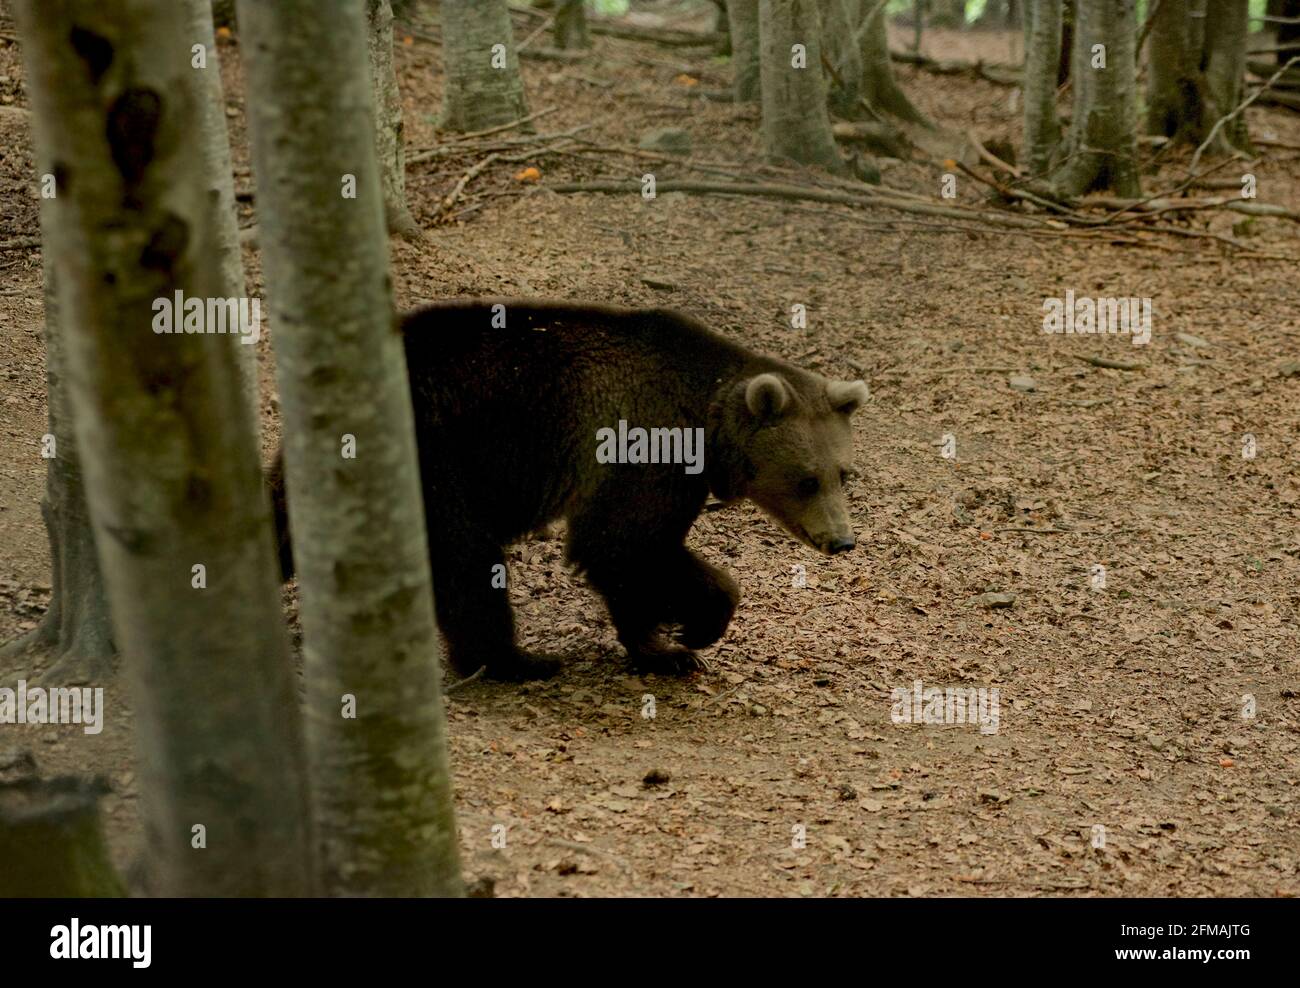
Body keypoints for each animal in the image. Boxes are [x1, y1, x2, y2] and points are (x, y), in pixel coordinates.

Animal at [269, 297, 868, 681]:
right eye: (806, 479)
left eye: (843, 473)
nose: (841, 541)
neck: (709, 423)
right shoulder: (645, 445)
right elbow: (620, 542)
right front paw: (697, 630)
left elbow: (634, 560)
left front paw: (661, 648)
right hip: (438, 452)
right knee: (469, 559)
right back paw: (513, 661)